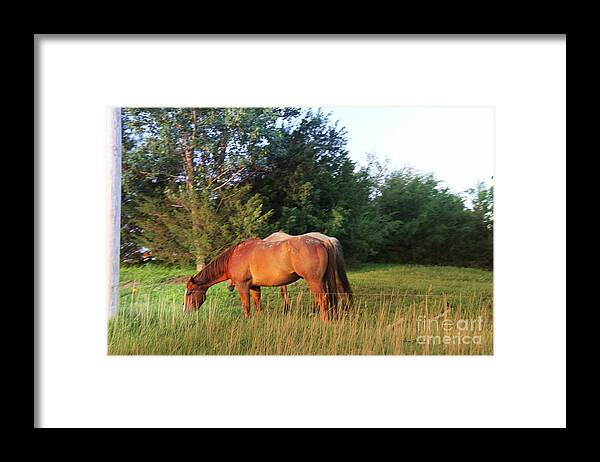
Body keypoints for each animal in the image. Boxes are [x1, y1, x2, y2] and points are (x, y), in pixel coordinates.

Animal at [183, 235, 352, 322]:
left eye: (190, 292)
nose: (185, 311)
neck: (234, 256)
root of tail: (324, 241)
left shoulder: (242, 286)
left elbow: (246, 306)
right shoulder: (254, 287)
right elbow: (257, 305)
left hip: (314, 281)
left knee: (323, 299)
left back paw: (324, 321)